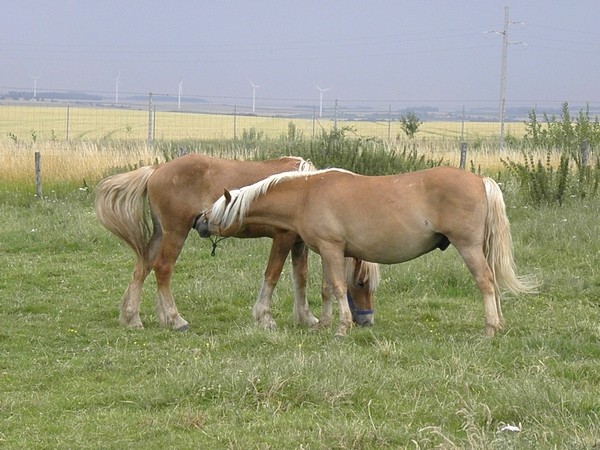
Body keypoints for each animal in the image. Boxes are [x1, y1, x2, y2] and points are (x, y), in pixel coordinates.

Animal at [95, 153, 380, 332]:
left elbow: (300, 277)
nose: (367, 321)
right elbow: (272, 275)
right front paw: (264, 318)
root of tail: (156, 171)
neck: (302, 189)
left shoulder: (298, 243)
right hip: (175, 232)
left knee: (142, 268)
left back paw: (133, 318)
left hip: (160, 233)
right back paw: (175, 319)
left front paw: (306, 317)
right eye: (361, 282)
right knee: (162, 269)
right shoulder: (283, 237)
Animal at [198, 165, 540, 338]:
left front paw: (342, 328)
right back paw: (499, 323)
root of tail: (481, 180)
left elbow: (337, 287)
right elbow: (326, 288)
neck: (307, 194)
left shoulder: (332, 249)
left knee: (485, 282)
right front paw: (324, 324)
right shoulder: (328, 251)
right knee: (492, 281)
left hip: (468, 247)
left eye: (216, 208)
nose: (198, 222)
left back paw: (490, 329)